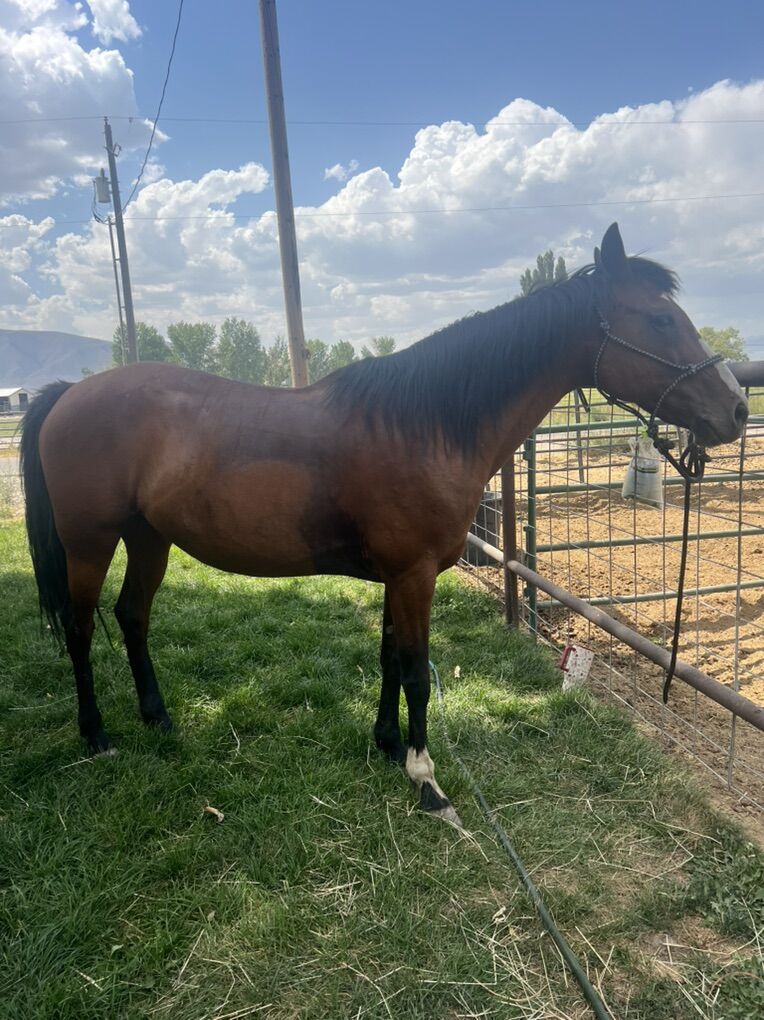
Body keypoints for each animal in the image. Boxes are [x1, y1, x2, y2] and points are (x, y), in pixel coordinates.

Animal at [20, 223, 748, 824]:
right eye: (659, 319)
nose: (737, 410)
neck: (425, 426)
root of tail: (69, 394)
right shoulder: (414, 574)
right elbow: (418, 672)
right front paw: (427, 782)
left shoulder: (398, 577)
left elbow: (389, 660)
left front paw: (388, 744)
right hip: (90, 542)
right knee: (81, 630)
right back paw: (97, 734)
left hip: (149, 537)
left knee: (132, 617)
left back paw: (160, 719)